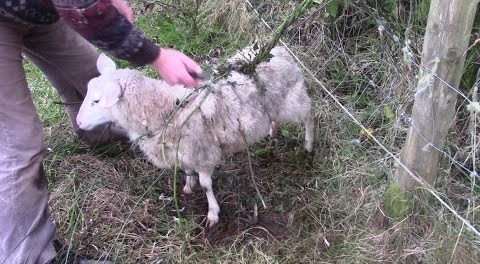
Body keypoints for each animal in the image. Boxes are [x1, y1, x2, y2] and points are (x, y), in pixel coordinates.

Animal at [76, 46, 314, 226]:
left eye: (97, 100)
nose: (78, 123)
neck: (165, 110)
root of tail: (280, 50)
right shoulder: (184, 151)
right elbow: (188, 171)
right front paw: (188, 187)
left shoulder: (203, 153)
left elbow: (206, 185)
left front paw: (213, 213)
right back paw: (272, 132)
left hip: (292, 100)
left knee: (309, 115)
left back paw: (308, 145)